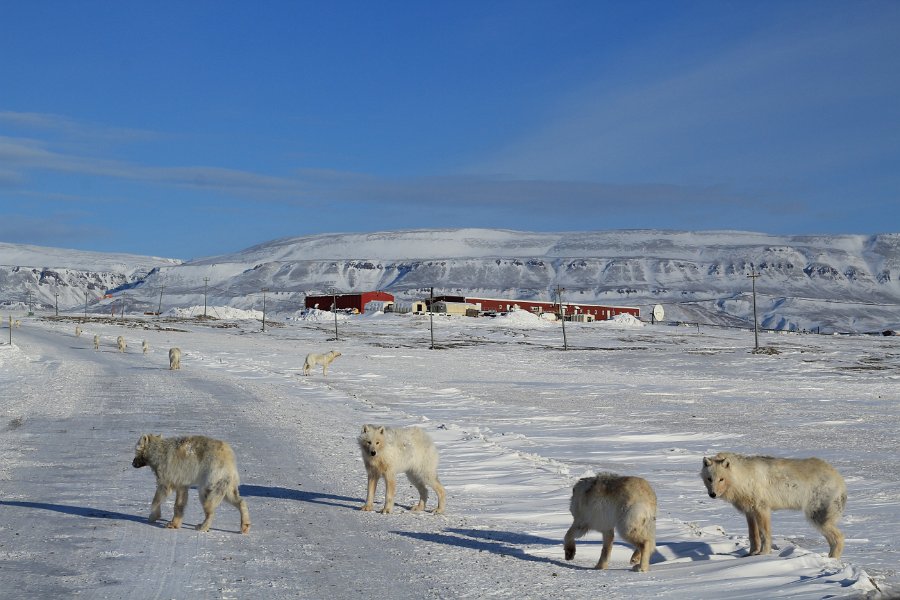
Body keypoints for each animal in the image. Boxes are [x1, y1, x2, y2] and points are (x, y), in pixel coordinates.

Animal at [704, 452, 844, 560]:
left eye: (721, 479)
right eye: (709, 479)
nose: (712, 494)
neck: (742, 477)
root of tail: (839, 477)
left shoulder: (762, 509)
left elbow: (764, 534)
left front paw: (764, 554)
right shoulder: (749, 512)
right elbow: (753, 535)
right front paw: (751, 554)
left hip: (817, 517)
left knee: (839, 537)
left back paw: (832, 559)